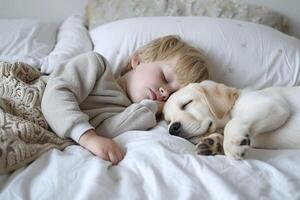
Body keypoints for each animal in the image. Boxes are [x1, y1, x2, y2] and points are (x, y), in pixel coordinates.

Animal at [164, 79, 300, 159]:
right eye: (168, 121)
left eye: (187, 103)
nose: (172, 129)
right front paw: (214, 143)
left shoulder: (273, 104)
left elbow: (233, 122)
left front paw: (231, 142)